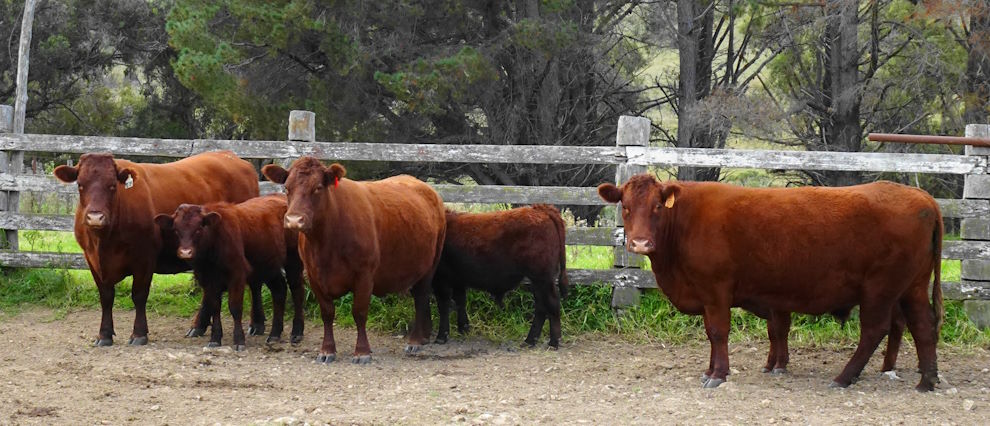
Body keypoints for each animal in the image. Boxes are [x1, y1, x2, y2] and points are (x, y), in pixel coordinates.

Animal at [53, 151, 259, 346]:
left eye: (112, 185)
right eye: (80, 185)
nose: (95, 217)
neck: (104, 242)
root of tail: (234, 158)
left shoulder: (144, 259)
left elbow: (139, 295)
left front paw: (139, 334)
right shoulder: (92, 261)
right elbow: (106, 297)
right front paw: (104, 335)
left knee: (253, 284)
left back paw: (255, 325)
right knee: (209, 292)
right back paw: (198, 326)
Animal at [153, 194, 306, 350]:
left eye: (199, 228)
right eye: (176, 230)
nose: (185, 252)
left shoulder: (237, 274)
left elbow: (235, 307)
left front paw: (239, 340)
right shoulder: (207, 278)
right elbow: (214, 306)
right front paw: (215, 339)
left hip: (293, 261)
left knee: (297, 291)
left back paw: (297, 332)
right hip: (268, 265)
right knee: (279, 290)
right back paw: (275, 334)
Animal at [261, 157, 446, 364]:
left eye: (318, 187)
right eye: (286, 188)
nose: (294, 220)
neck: (324, 244)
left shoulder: (364, 275)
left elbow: (359, 312)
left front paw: (362, 351)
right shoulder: (314, 276)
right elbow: (327, 313)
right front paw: (327, 350)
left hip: (430, 265)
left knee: (421, 298)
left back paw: (415, 341)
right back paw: (423, 337)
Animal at [433, 204, 569, 348]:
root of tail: (539, 208)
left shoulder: (439, 279)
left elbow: (443, 306)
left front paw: (441, 336)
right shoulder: (458, 279)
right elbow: (460, 301)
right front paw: (463, 329)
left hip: (542, 278)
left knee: (552, 303)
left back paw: (553, 342)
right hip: (538, 280)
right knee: (541, 306)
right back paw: (530, 340)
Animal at [598, 175, 943, 391]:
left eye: (657, 206)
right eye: (625, 207)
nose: (640, 243)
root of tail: (921, 197)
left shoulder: (716, 290)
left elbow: (718, 332)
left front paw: (718, 374)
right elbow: (723, 333)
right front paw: (710, 369)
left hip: (879, 290)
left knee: (875, 331)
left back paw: (844, 377)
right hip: (912, 287)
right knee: (923, 327)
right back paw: (927, 381)